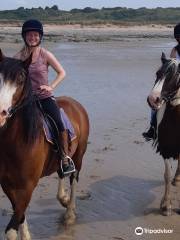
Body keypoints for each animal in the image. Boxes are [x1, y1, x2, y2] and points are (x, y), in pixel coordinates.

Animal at [0, 49, 89, 239]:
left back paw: (70, 213)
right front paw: (26, 235)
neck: (16, 141)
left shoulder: (27, 186)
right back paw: (63, 199)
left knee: (74, 178)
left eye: (21, 78)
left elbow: (12, 228)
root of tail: (75, 104)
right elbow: (20, 215)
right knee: (62, 172)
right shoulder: (7, 185)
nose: (1, 113)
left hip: (79, 155)